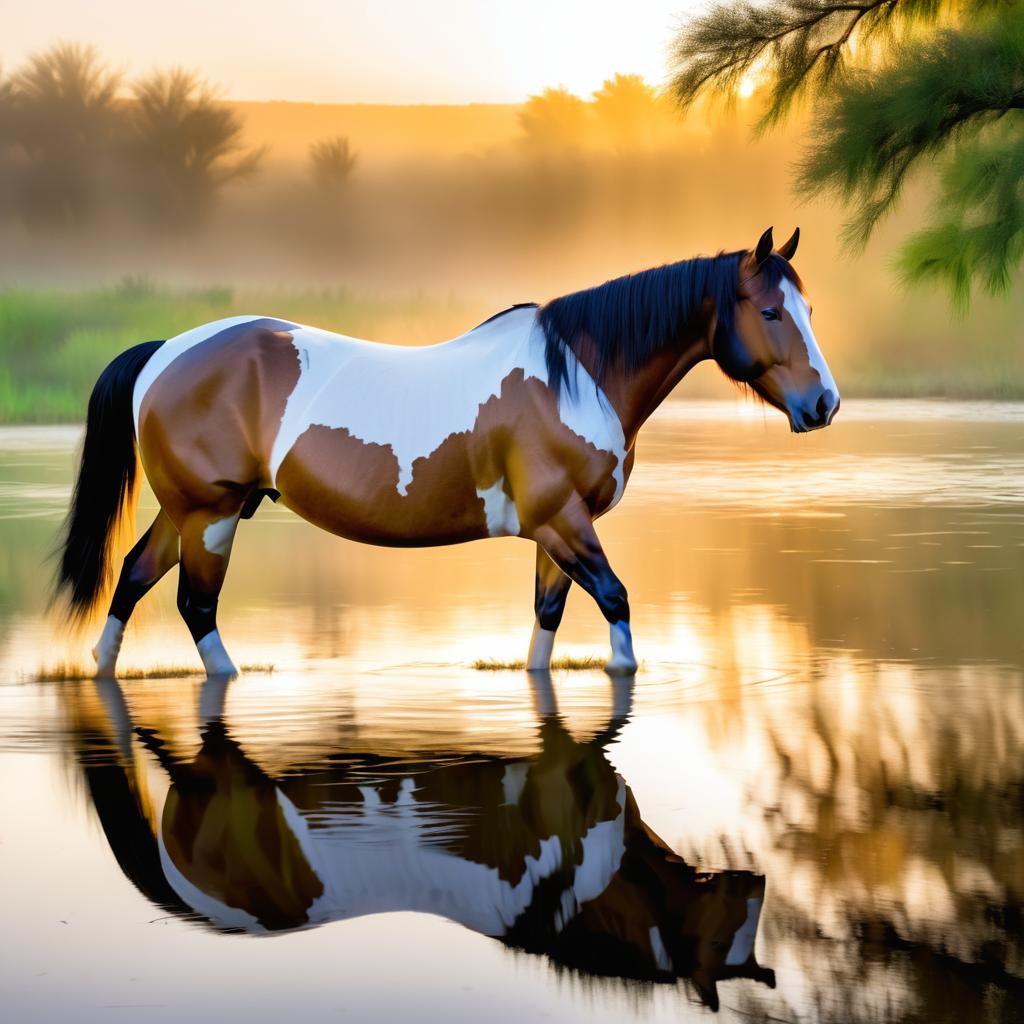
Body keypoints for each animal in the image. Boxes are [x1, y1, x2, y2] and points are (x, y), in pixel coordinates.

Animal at [56, 225, 835, 675]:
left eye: (810, 309)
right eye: (770, 312)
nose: (823, 404)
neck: (575, 374)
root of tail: (168, 350)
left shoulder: (556, 529)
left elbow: (546, 623)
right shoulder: (562, 519)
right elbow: (615, 606)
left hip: (192, 512)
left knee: (133, 577)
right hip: (210, 515)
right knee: (195, 605)